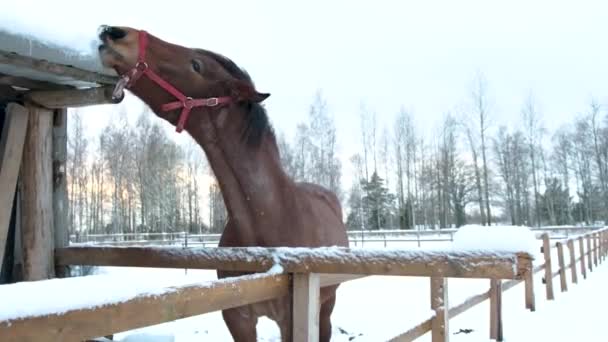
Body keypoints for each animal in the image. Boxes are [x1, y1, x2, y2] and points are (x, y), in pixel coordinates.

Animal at [98, 25, 350, 340]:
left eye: (196, 65)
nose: (114, 33)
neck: (272, 221)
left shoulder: (291, 319)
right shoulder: (237, 316)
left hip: (326, 306)